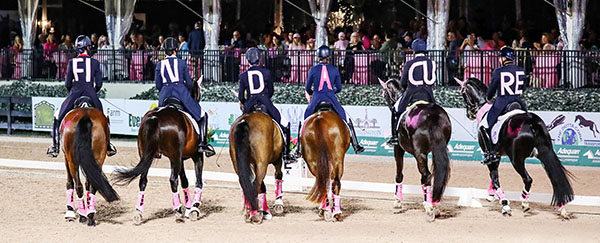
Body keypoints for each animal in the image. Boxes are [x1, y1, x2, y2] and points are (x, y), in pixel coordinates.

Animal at [61, 97, 119, 226]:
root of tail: (85, 116)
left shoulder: (66, 157)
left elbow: (69, 182)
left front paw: (70, 212)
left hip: (72, 160)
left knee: (78, 185)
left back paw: (83, 216)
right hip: (98, 158)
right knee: (92, 184)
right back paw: (91, 216)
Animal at [116, 76, 212, 224]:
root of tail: (155, 117)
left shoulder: (180, 158)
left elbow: (184, 180)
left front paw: (188, 207)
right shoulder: (196, 156)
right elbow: (198, 181)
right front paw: (194, 208)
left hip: (147, 155)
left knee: (143, 180)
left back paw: (138, 212)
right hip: (175, 157)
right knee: (172, 180)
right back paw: (177, 211)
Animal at [380, 79, 450, 221]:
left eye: (384, 92)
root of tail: (432, 115)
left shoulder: (398, 148)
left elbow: (399, 173)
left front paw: (397, 202)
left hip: (419, 153)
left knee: (427, 175)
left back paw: (430, 208)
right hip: (438, 150)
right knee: (435, 174)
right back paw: (435, 205)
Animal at [458, 77, 576, 217]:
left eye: (463, 93)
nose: (468, 114)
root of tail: (531, 122)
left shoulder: (490, 155)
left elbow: (495, 177)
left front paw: (504, 204)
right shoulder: (497, 154)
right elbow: (493, 177)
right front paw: (491, 195)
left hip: (516, 159)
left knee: (528, 179)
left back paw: (525, 202)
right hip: (544, 152)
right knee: (555, 177)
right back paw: (562, 208)